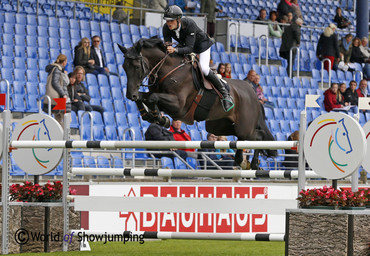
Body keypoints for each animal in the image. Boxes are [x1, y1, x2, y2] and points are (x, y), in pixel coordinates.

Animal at [117, 38, 276, 169]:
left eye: (137, 67)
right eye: (124, 67)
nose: (129, 94)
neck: (169, 70)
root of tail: (253, 94)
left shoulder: (179, 106)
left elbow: (152, 98)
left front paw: (159, 118)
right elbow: (144, 98)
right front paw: (155, 117)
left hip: (244, 127)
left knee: (257, 137)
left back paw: (251, 163)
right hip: (219, 126)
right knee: (248, 137)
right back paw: (242, 161)